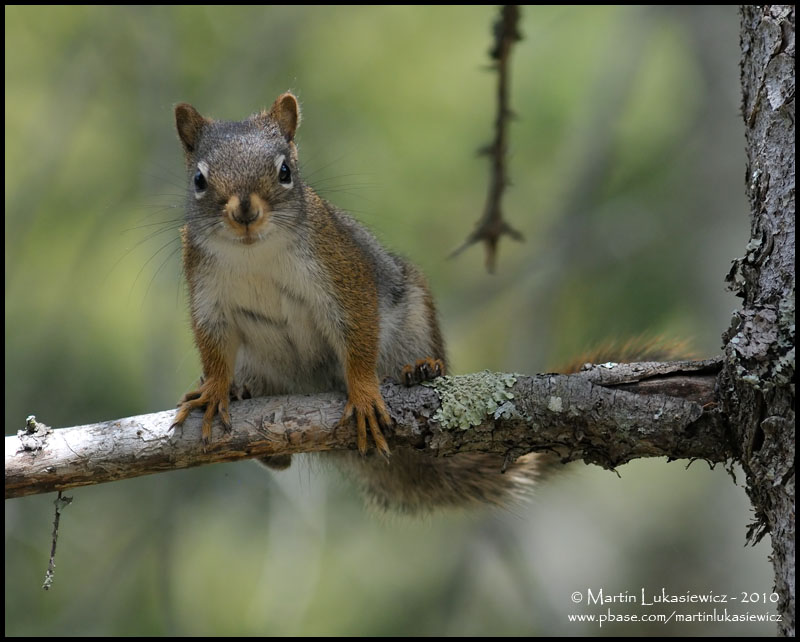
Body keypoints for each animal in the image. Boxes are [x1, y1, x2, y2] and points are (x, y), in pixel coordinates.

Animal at [172, 90, 684, 512]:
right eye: (198, 179)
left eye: (285, 172)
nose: (244, 211)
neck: (253, 255)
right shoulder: (206, 292)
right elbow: (212, 344)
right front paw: (215, 388)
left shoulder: (343, 271)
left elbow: (358, 331)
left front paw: (363, 393)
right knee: (276, 455)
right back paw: (245, 393)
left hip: (414, 317)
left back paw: (420, 370)